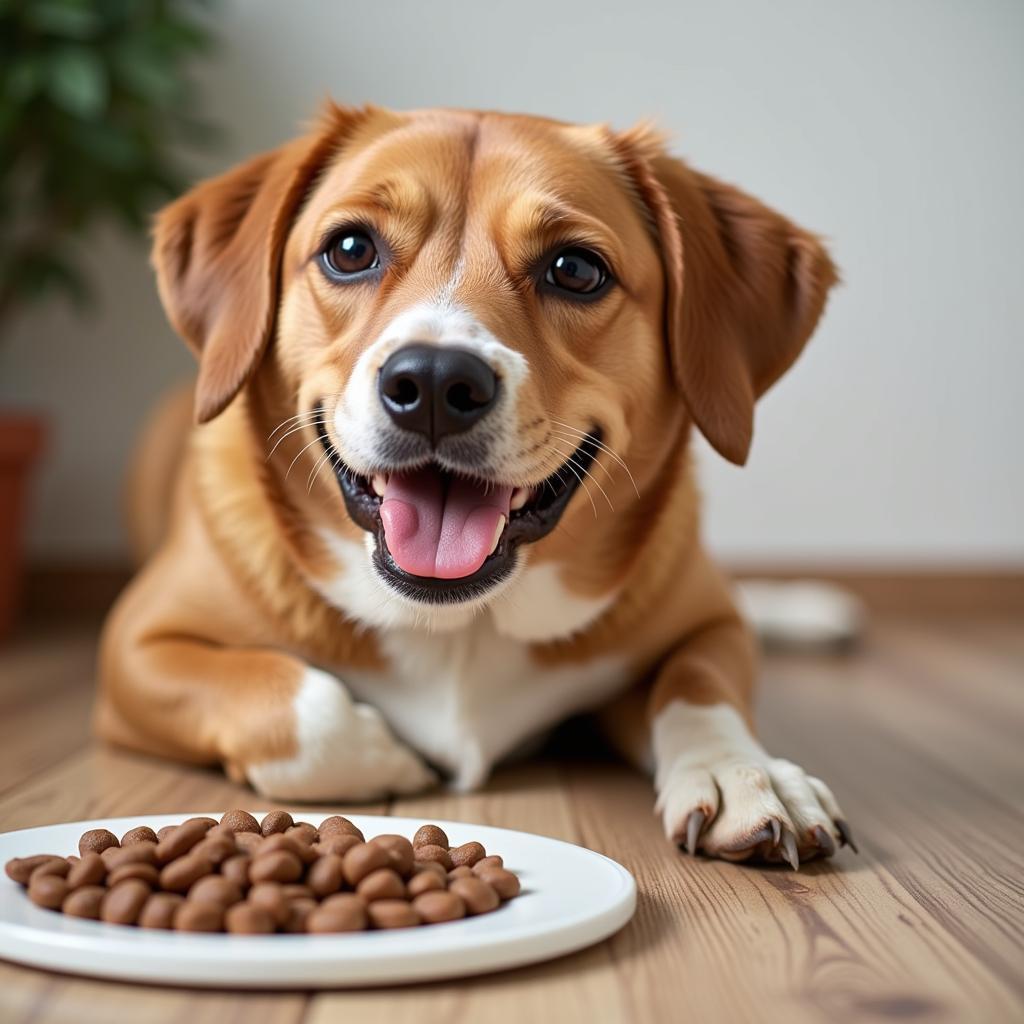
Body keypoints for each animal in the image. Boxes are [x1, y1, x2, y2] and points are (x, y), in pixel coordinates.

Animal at [94, 103, 847, 868]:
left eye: (576, 269)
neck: (460, 624)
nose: (432, 382)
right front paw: (385, 757)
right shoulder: (135, 648)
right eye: (349, 249)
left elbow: (700, 684)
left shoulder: (710, 626)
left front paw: (740, 772)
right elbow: (298, 702)